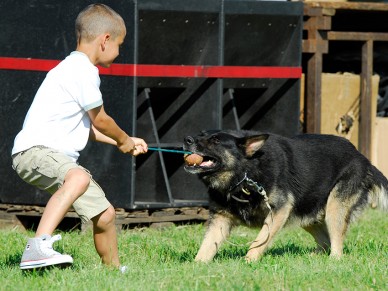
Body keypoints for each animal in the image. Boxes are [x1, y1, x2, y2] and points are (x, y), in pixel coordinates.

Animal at [183, 131, 388, 264]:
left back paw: (333, 261)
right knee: (325, 240)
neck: (245, 173)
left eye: (216, 140)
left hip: (334, 208)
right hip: (307, 213)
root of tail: (363, 158)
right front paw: (197, 265)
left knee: (336, 243)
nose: (186, 139)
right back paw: (315, 257)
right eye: (201, 134)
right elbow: (207, 245)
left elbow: (259, 240)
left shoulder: (279, 211)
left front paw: (249, 261)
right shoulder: (220, 219)